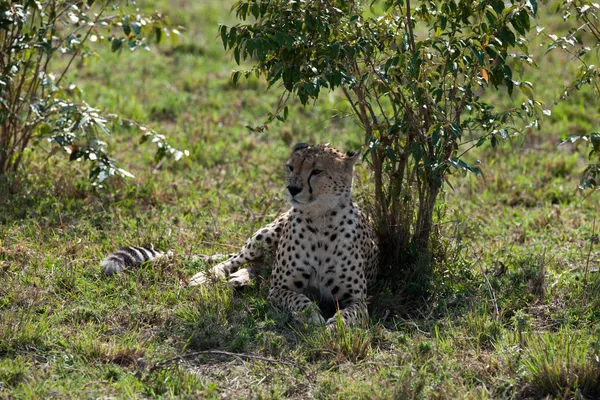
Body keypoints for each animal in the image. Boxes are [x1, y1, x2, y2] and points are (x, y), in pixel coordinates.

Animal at [99, 143, 380, 324]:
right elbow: (299, 300)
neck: (321, 221)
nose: (292, 189)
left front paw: (336, 324)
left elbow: (353, 314)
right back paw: (208, 276)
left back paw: (241, 279)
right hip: (264, 235)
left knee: (260, 267)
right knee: (236, 260)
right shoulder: (279, 288)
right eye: (291, 167)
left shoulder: (358, 298)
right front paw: (312, 315)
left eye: (317, 171)